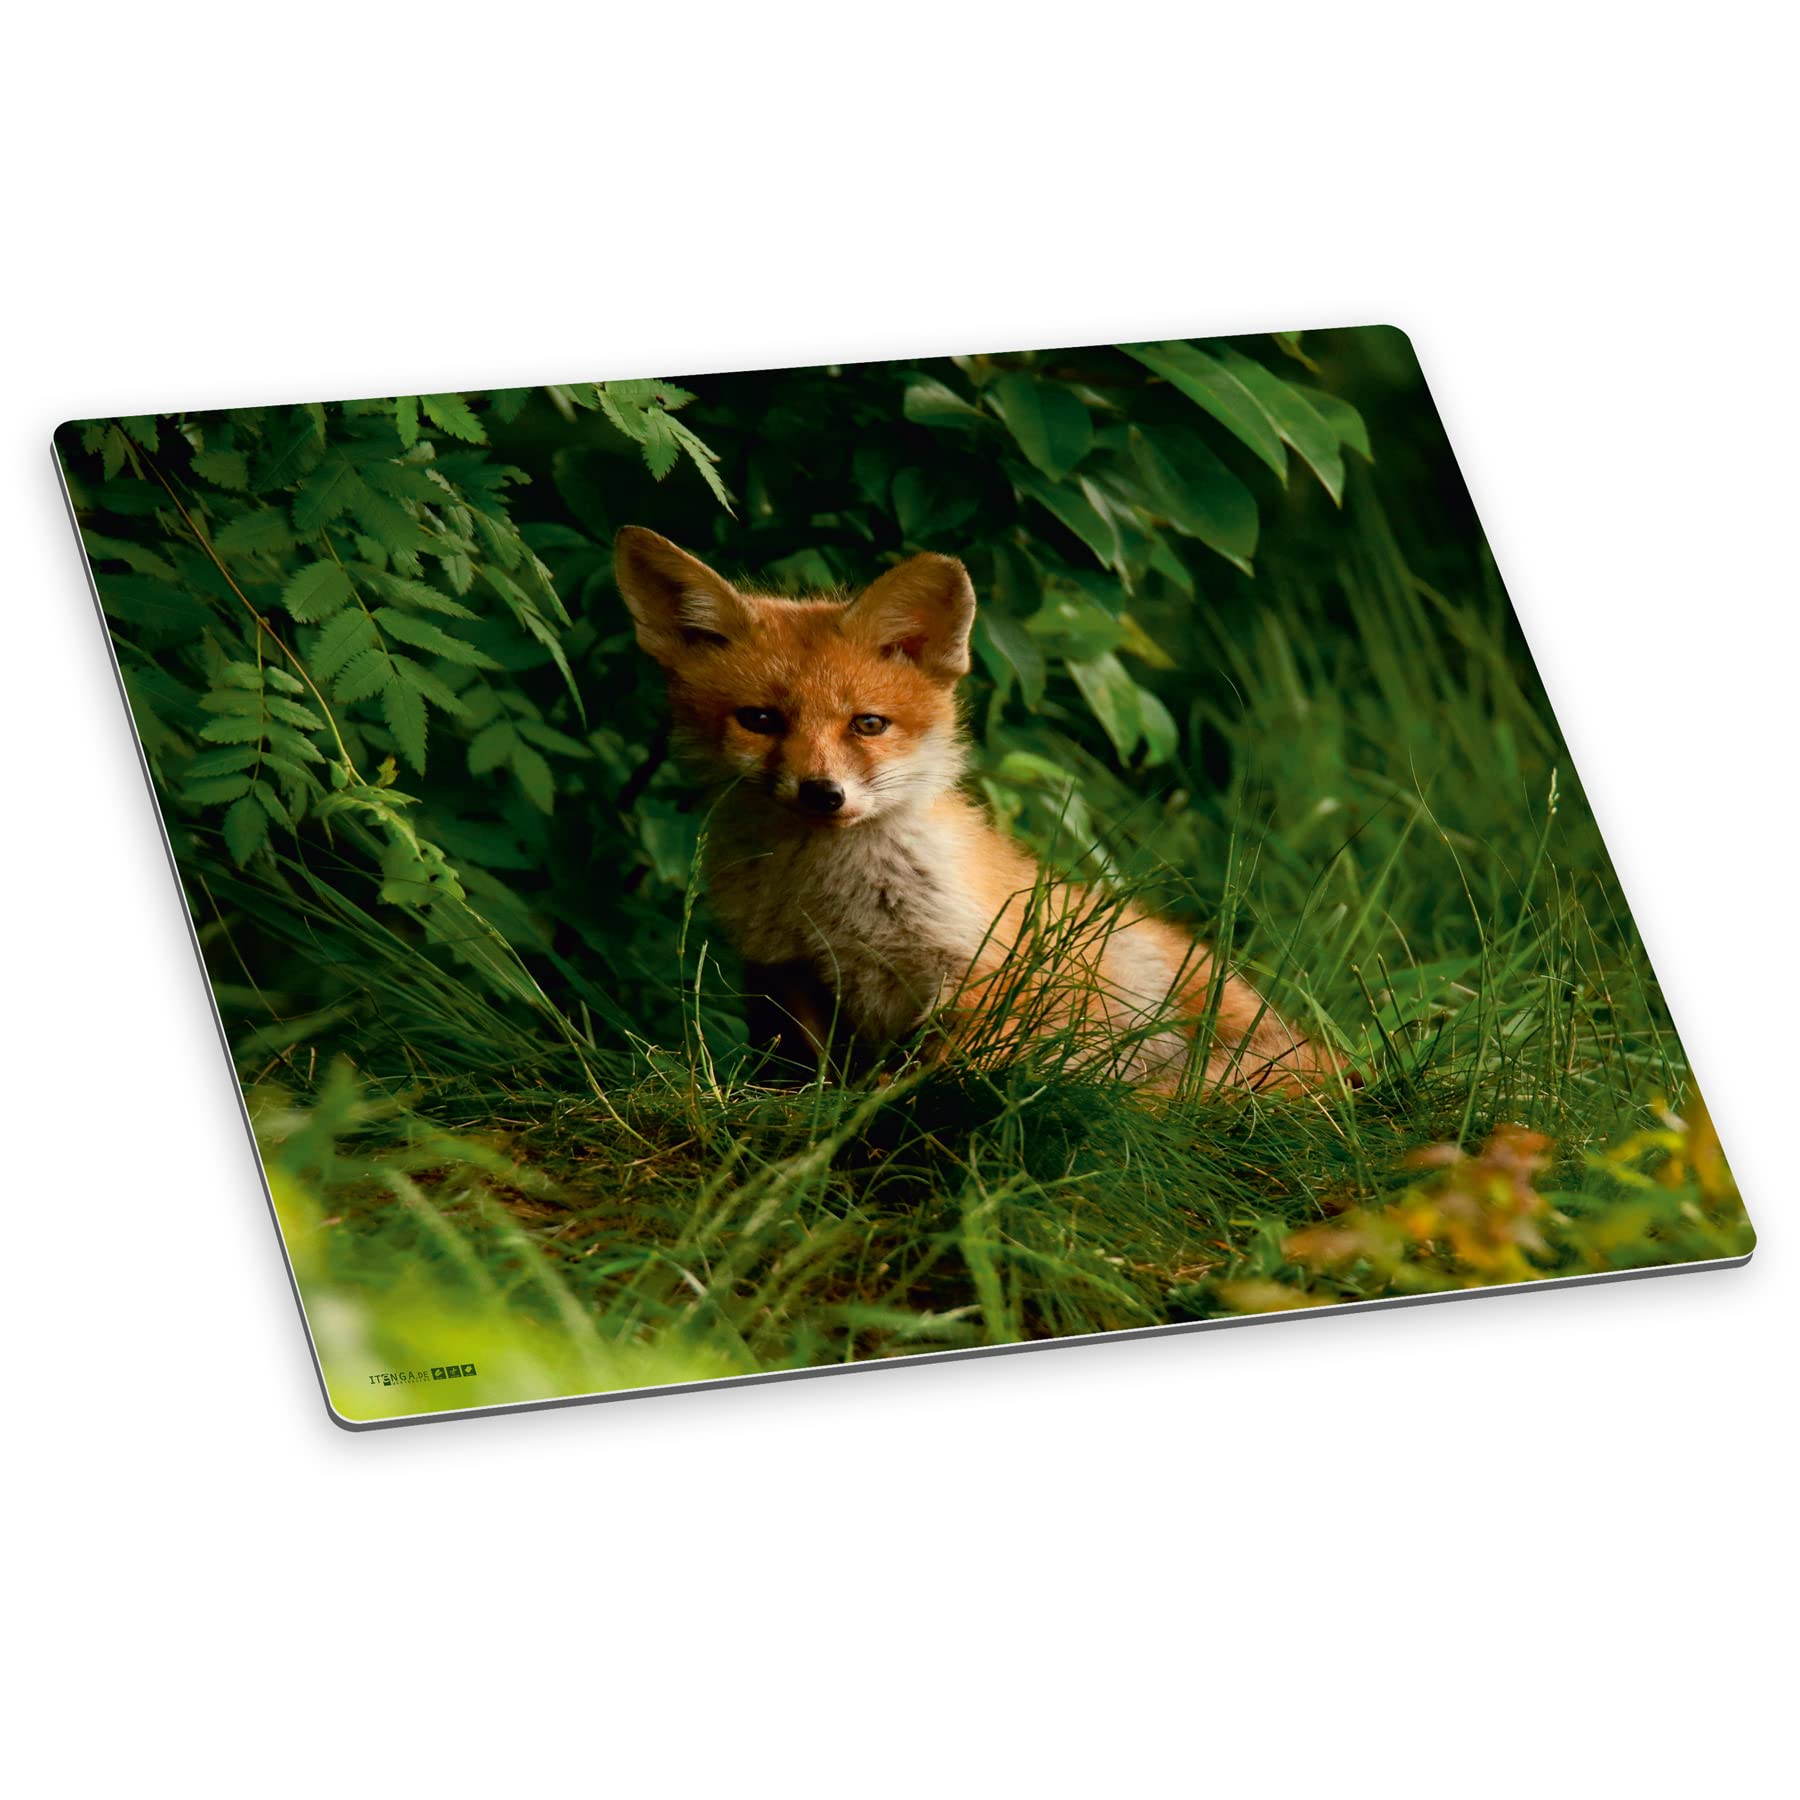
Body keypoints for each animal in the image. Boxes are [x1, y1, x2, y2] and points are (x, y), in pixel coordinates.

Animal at [614, 525, 1335, 1095]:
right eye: (761, 721)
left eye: (868, 724)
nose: (823, 793)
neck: (828, 900)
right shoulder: (783, 971)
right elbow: (807, 1072)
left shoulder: (982, 969)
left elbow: (940, 1072)